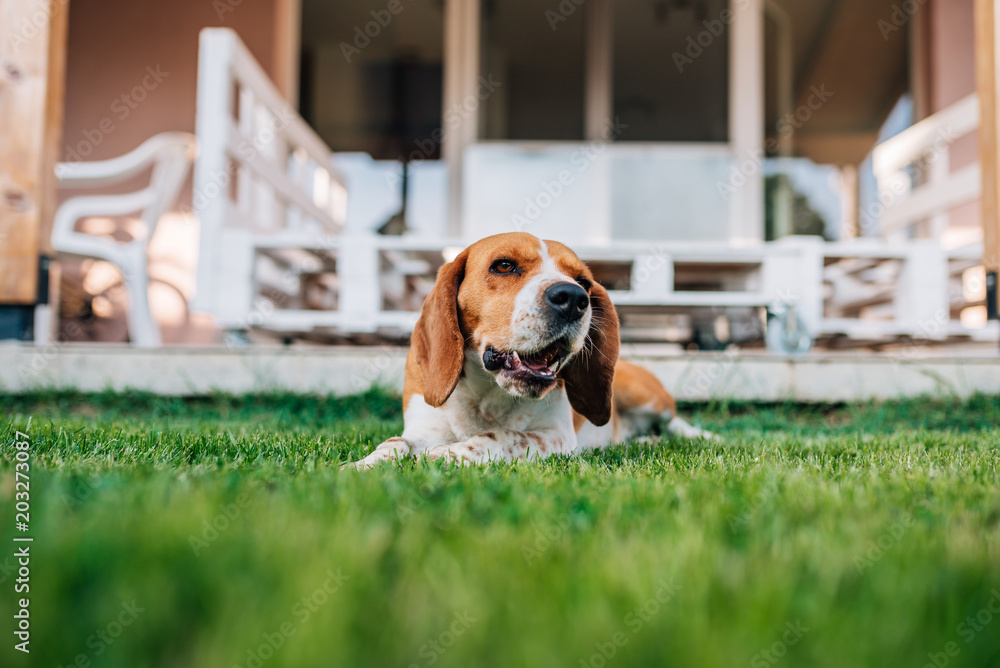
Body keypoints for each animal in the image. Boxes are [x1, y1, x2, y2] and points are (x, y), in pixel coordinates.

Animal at [348, 234, 716, 470]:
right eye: (504, 265)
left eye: (584, 282)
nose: (574, 298)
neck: (487, 396)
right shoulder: (421, 430)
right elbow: (394, 444)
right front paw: (360, 466)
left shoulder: (556, 438)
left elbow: (503, 436)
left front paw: (448, 455)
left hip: (645, 397)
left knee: (675, 424)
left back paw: (704, 436)